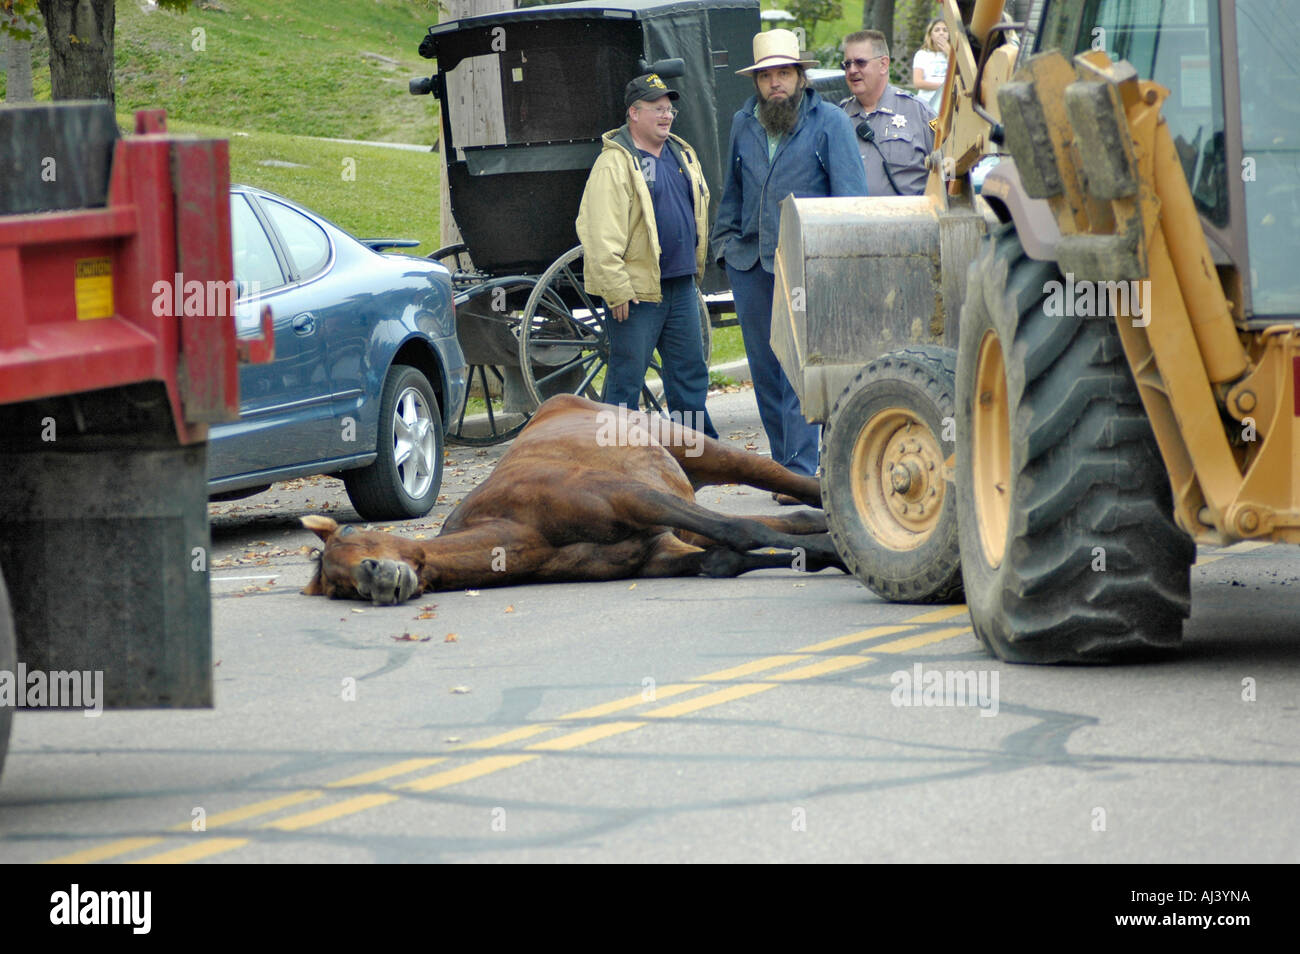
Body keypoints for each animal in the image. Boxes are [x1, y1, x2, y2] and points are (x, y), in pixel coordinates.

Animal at [300, 395, 847, 605]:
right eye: (340, 587)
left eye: (354, 535)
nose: (374, 578)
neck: (522, 532)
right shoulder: (660, 550)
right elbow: (732, 556)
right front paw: (825, 556)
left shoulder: (634, 498)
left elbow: (744, 532)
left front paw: (839, 557)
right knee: (797, 515)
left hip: (699, 449)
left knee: (783, 479)